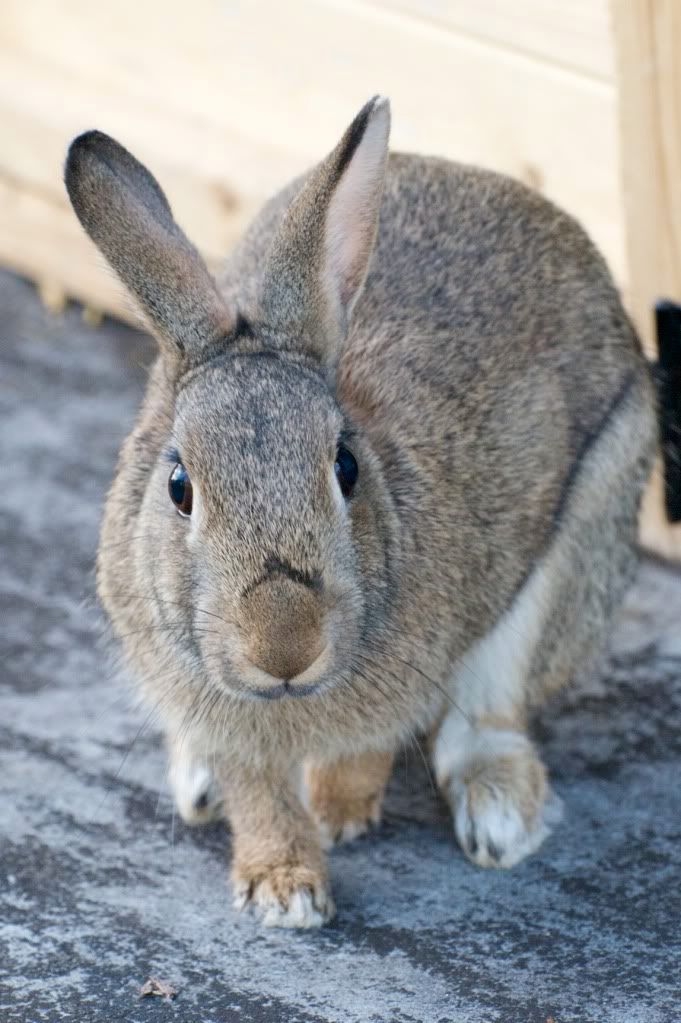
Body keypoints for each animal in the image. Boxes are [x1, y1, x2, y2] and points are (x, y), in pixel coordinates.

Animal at [66, 96, 654, 928]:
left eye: (344, 467)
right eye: (179, 485)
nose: (284, 645)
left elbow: (366, 745)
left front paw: (334, 811)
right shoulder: (217, 707)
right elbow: (255, 790)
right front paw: (284, 886)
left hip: (589, 522)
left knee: (490, 711)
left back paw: (498, 815)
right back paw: (197, 785)